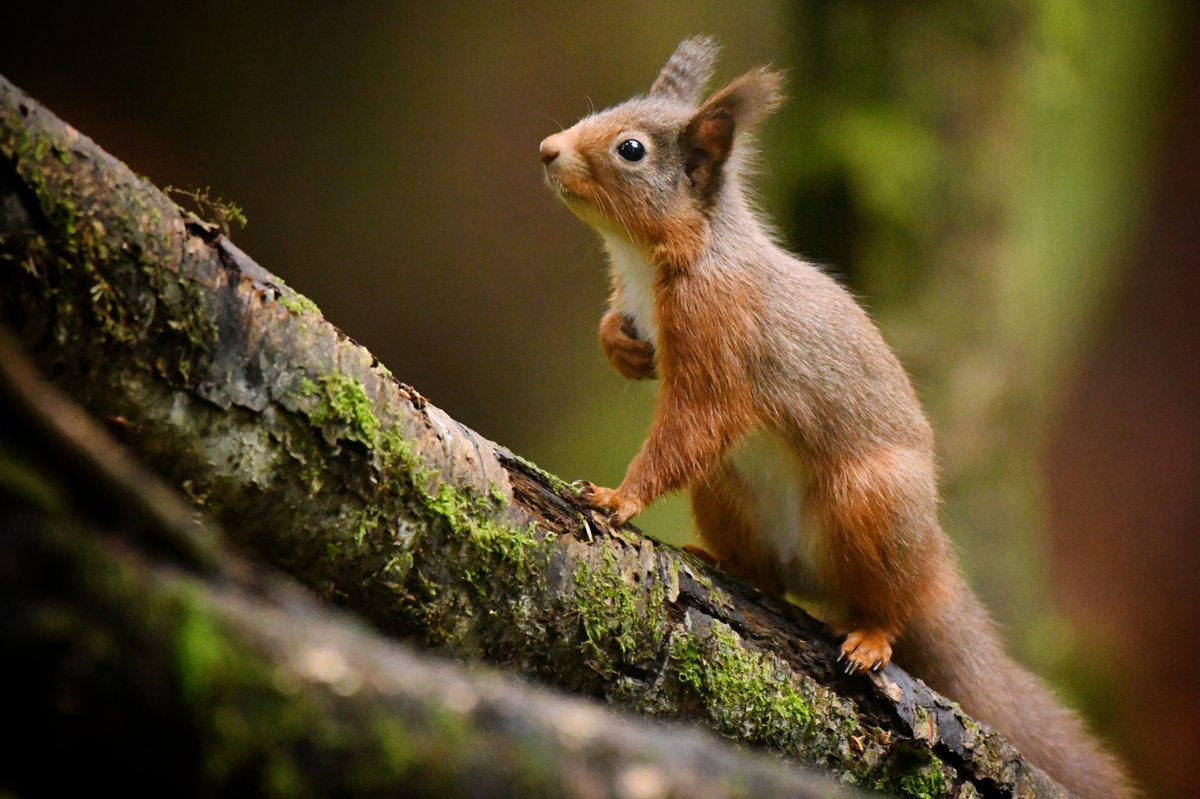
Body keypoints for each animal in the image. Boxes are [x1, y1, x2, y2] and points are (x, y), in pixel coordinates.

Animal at [544, 35, 1132, 791]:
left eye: (632, 150)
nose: (548, 150)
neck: (660, 258)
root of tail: (936, 561)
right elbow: (621, 338)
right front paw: (622, 347)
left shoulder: (722, 341)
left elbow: (694, 426)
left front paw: (619, 497)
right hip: (729, 489)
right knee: (772, 570)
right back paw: (733, 566)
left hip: (870, 499)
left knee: (892, 602)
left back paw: (873, 636)